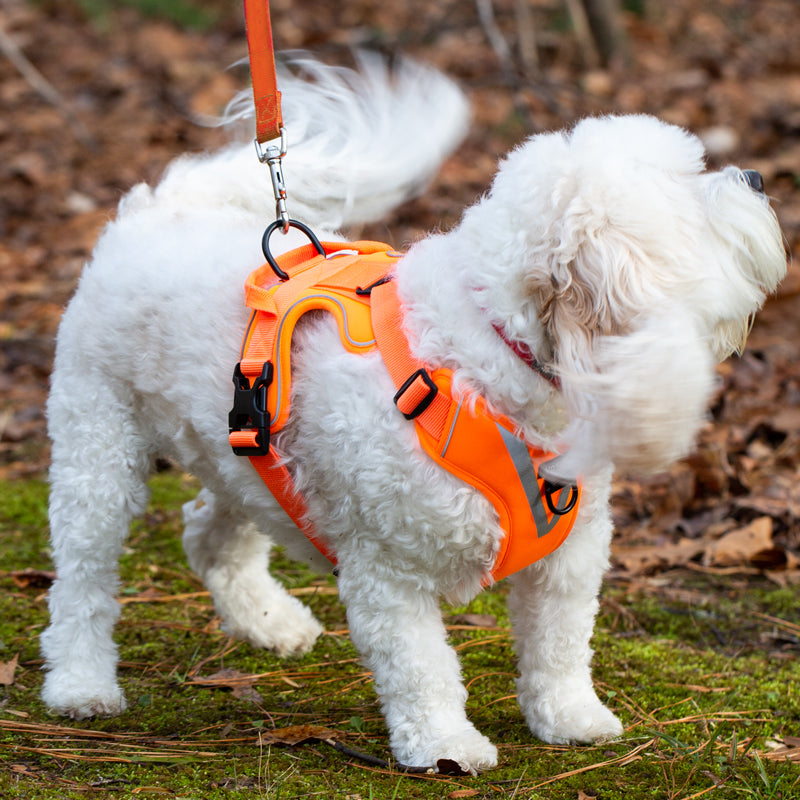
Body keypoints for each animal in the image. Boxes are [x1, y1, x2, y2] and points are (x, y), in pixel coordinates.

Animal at [40, 54, 786, 775]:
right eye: (689, 193)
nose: (755, 176)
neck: (484, 357)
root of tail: (152, 212)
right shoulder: (388, 572)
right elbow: (422, 668)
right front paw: (445, 746)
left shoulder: (569, 558)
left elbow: (561, 647)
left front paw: (571, 718)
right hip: (96, 449)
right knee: (82, 579)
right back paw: (81, 683)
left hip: (247, 456)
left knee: (208, 534)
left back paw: (270, 622)